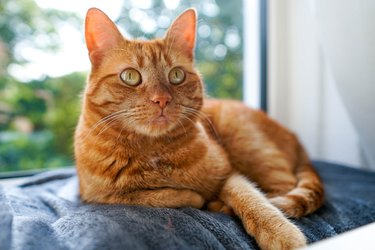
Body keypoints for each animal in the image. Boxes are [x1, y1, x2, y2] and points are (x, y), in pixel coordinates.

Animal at [75, 7, 324, 250]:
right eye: (130, 76)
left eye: (176, 75)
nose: (162, 99)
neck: (153, 154)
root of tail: (297, 140)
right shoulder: (96, 195)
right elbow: (146, 197)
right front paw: (190, 195)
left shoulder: (229, 174)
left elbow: (252, 198)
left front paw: (281, 234)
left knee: (282, 190)